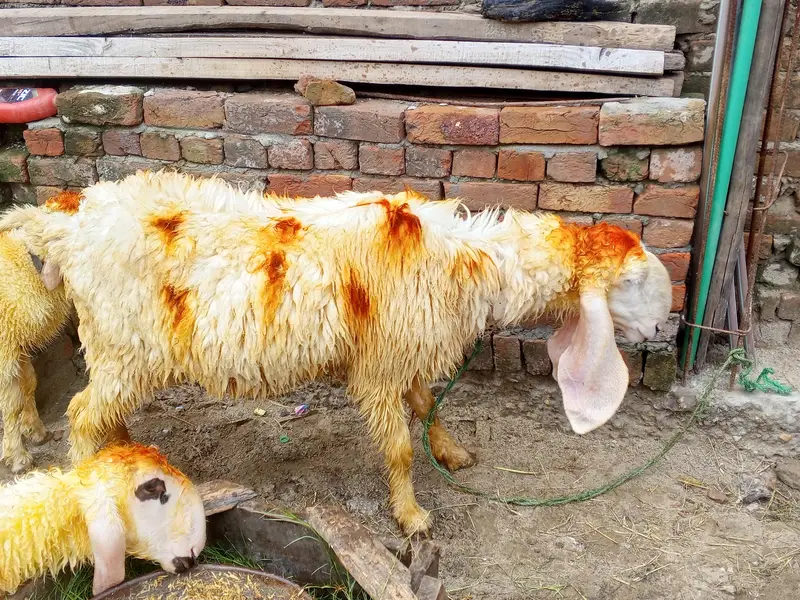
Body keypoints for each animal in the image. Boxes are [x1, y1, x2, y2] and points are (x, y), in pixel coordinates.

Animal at [0, 192, 78, 474]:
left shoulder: (17, 345)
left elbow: (29, 384)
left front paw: (35, 430)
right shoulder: (4, 351)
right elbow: (11, 403)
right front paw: (17, 457)